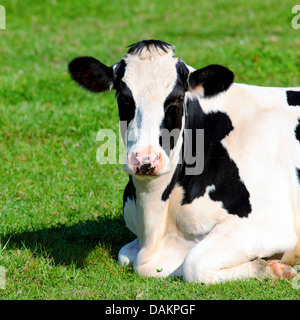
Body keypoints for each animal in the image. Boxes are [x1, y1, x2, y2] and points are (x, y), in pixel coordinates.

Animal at [68, 39, 300, 282]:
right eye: (123, 97)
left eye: (178, 99)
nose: (145, 160)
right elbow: (124, 255)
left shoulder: (270, 225)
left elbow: (194, 264)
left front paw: (272, 268)